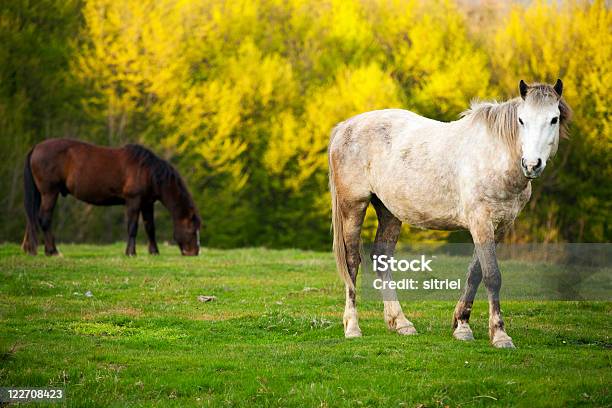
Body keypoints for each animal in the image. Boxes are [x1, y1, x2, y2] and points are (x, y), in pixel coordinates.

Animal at [22, 139, 201, 256]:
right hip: (49, 193)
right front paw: (131, 252)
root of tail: (36, 147)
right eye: (192, 230)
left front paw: (154, 252)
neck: (148, 172)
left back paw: (31, 249)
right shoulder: (133, 201)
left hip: (41, 194)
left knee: (32, 218)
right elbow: (132, 227)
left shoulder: (147, 203)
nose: (195, 252)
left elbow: (150, 227)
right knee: (44, 219)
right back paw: (52, 251)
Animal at [328, 79, 572, 348]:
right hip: (354, 206)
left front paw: (462, 325)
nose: (531, 164)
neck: (493, 156)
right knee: (352, 262)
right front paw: (499, 334)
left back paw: (401, 323)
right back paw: (352, 327)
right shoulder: (480, 222)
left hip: (388, 211)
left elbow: (475, 273)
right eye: (521, 120)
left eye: (554, 119)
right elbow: (492, 275)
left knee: (382, 258)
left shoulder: (499, 226)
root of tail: (346, 126)